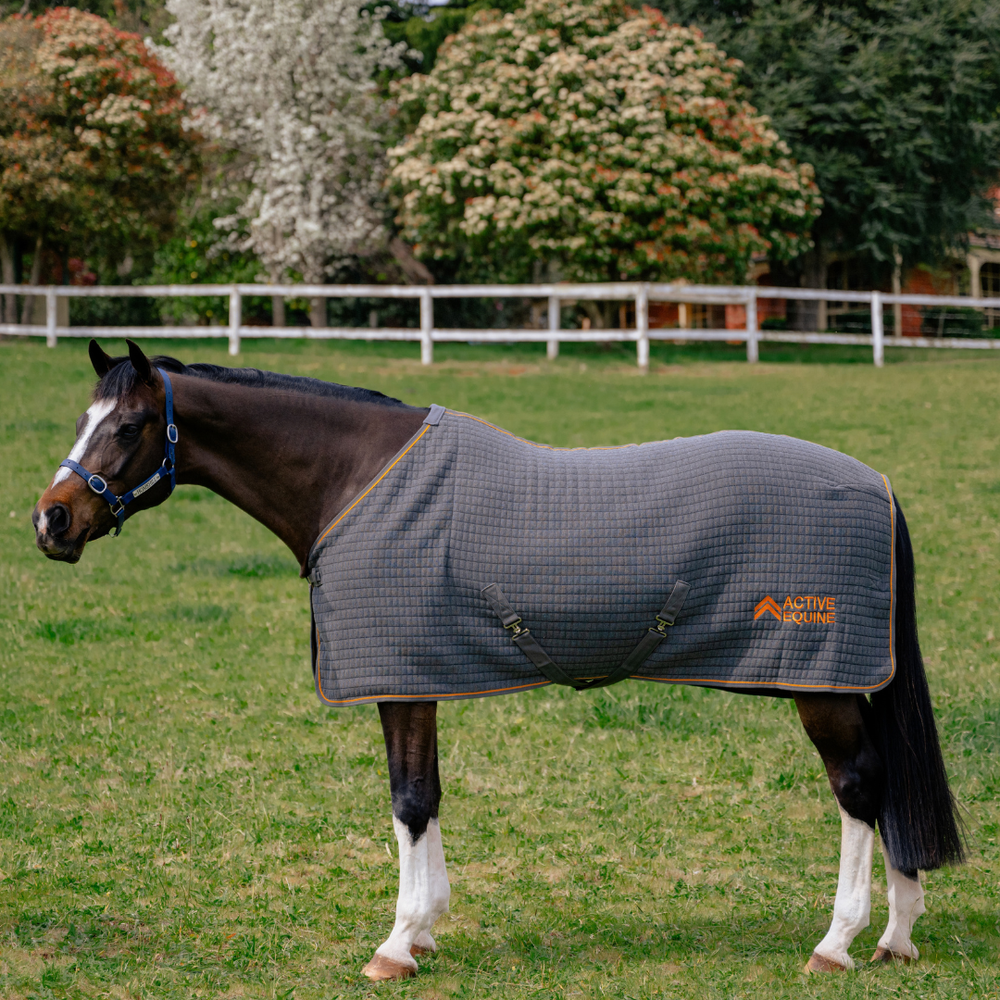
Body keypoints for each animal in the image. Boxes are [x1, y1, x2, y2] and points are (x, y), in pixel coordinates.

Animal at [32, 339, 964, 981]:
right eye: (80, 421)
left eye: (128, 426)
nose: (51, 520)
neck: (356, 481)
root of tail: (876, 484)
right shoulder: (421, 673)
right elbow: (428, 797)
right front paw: (425, 930)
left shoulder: (401, 676)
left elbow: (409, 802)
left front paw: (396, 944)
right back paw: (898, 936)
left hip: (821, 681)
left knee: (860, 788)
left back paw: (839, 942)